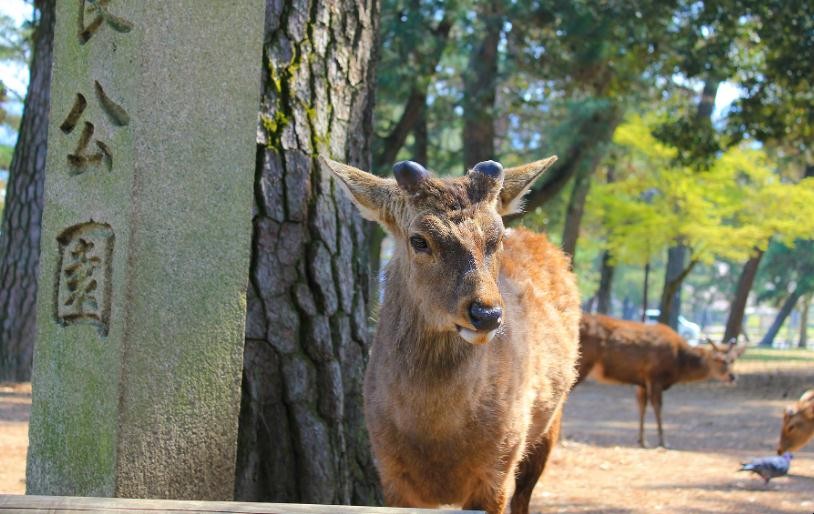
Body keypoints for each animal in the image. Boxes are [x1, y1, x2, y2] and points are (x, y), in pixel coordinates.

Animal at [322, 156, 584, 512]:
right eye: (419, 240)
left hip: (548, 425)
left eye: (497, 238)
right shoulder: (391, 474)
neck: (437, 438)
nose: (486, 314)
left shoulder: (498, 469)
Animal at [580, 310, 744, 446]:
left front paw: (642, 441)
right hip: (582, 363)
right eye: (717, 360)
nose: (732, 377)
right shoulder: (655, 376)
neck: (679, 365)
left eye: (733, 359)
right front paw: (663, 442)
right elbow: (658, 407)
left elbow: (642, 406)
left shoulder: (642, 382)